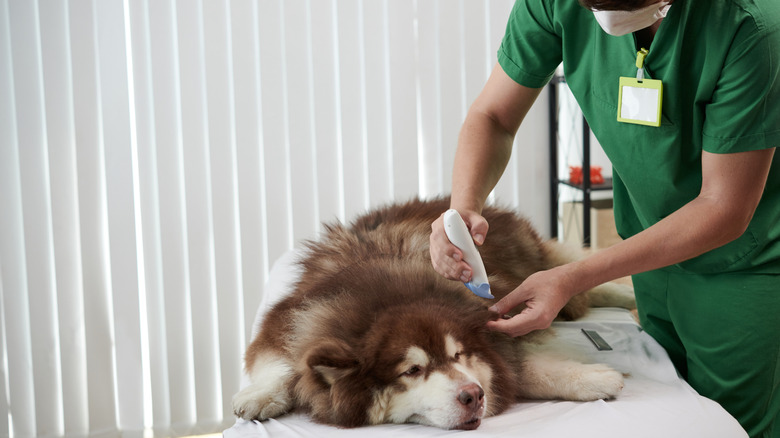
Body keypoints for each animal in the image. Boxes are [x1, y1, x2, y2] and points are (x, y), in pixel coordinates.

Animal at [232, 198, 632, 432]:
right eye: (412, 371)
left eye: (458, 355)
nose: (473, 395)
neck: (382, 299)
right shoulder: (288, 320)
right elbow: (282, 365)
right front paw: (260, 396)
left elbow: (524, 371)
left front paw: (594, 379)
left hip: (542, 266)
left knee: (579, 276)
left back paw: (627, 294)